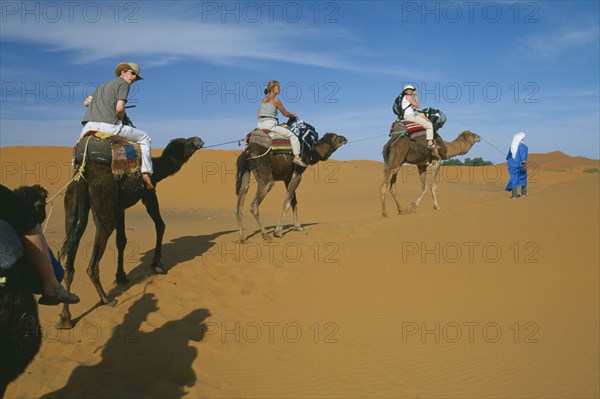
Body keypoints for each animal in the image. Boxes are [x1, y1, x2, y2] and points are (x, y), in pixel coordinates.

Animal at [58, 136, 204, 330]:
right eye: (186, 142)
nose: (199, 140)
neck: (157, 168)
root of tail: (83, 176)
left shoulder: (120, 208)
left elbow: (122, 240)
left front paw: (121, 276)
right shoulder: (148, 193)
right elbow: (161, 225)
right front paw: (157, 264)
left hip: (72, 206)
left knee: (70, 257)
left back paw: (65, 318)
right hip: (104, 212)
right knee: (92, 261)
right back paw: (106, 299)